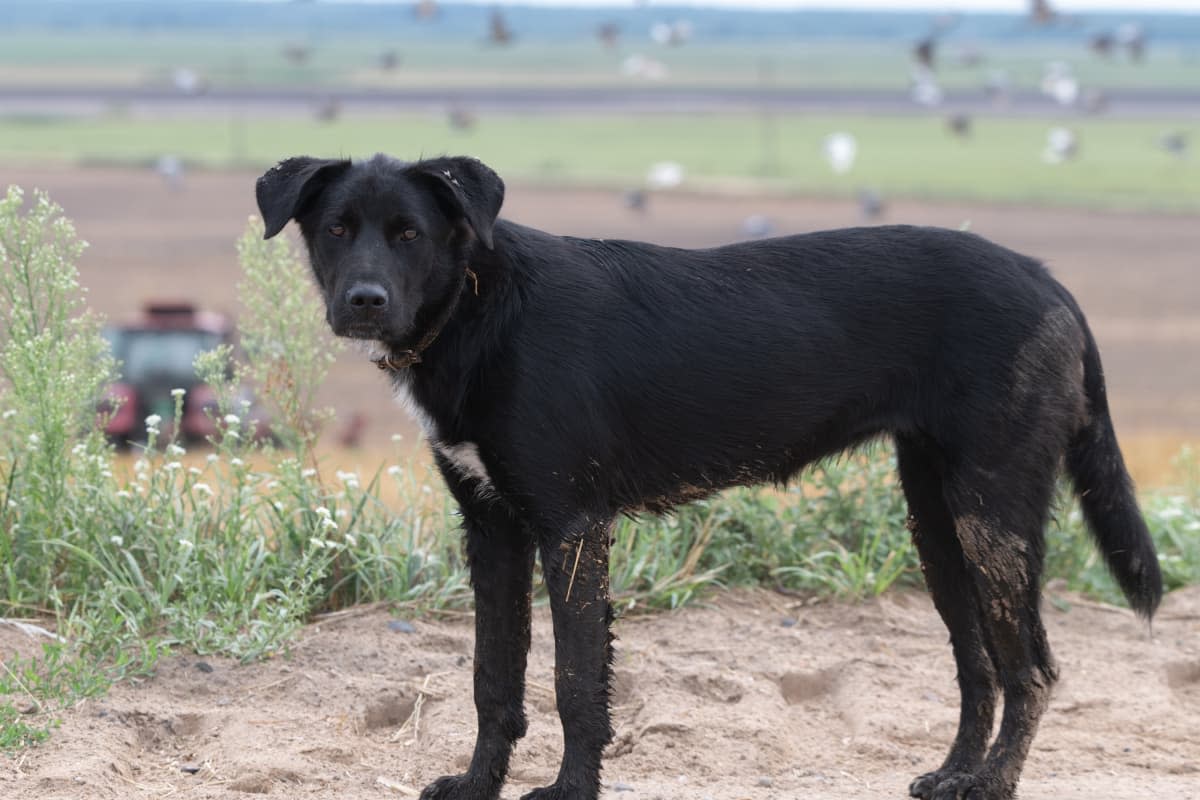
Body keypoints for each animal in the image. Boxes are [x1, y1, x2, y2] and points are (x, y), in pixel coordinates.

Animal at [255, 154, 1161, 800]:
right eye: (336, 229)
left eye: (409, 233)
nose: (364, 302)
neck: (480, 308)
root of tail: (1044, 277)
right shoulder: (494, 532)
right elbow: (493, 678)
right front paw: (480, 786)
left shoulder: (571, 528)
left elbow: (576, 681)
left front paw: (569, 792)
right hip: (937, 524)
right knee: (978, 666)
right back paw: (955, 774)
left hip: (992, 516)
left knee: (1030, 668)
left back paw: (993, 783)